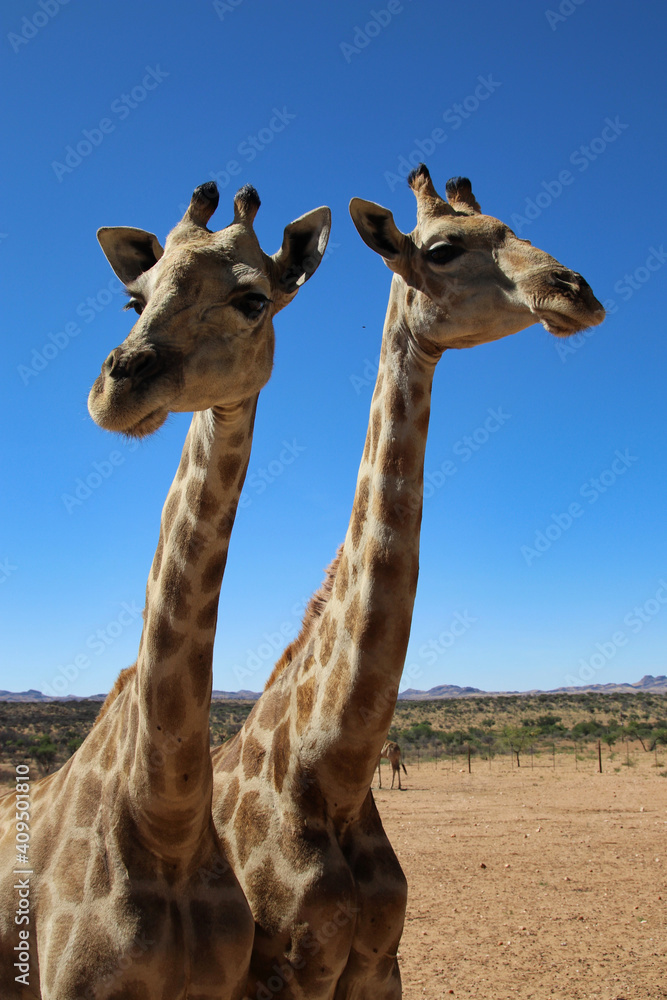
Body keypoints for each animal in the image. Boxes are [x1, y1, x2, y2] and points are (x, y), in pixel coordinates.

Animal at [210, 164, 604, 1000]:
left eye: (513, 226)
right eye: (443, 247)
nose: (575, 291)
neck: (330, 769)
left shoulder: (378, 961)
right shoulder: (285, 972)